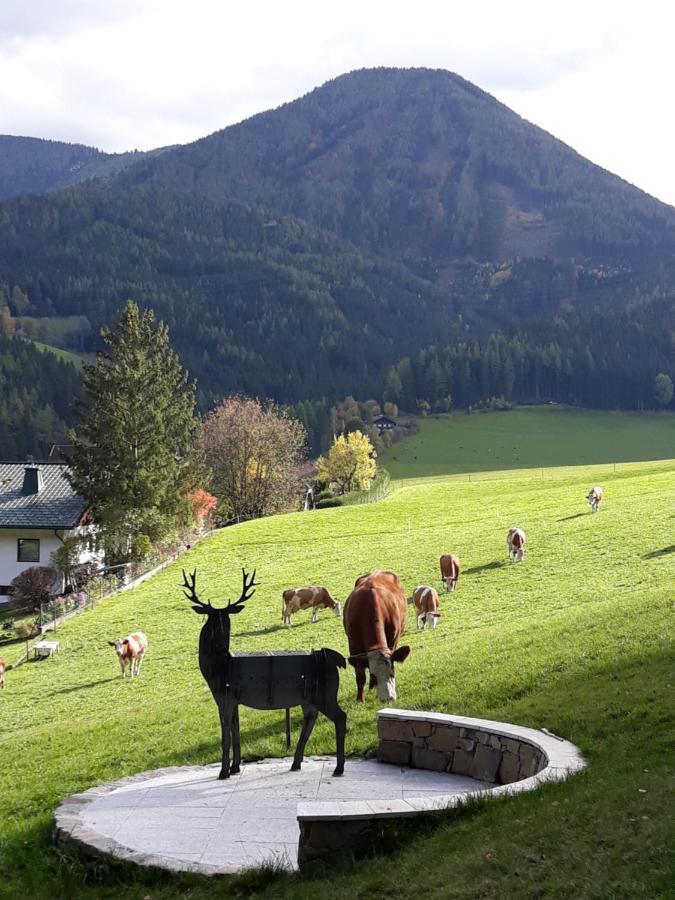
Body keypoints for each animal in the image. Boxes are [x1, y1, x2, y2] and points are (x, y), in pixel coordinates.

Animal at [346, 568, 410, 704]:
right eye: (374, 676)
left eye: (392, 673)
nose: (388, 698)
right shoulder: (353, 646)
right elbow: (360, 676)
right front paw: (360, 699)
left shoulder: (392, 641)